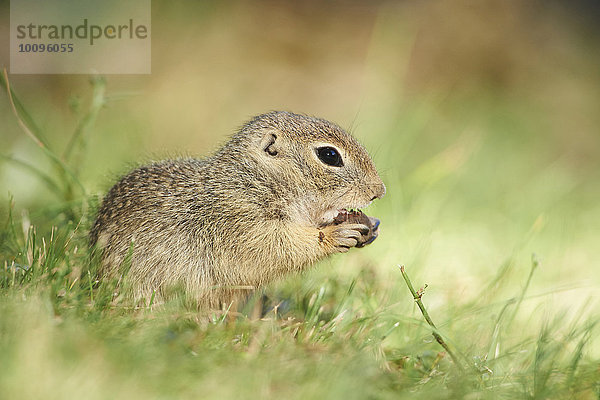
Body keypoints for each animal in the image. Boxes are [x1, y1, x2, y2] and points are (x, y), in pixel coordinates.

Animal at [91, 111, 386, 310]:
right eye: (329, 155)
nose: (379, 191)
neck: (252, 181)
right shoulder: (239, 222)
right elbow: (277, 248)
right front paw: (335, 235)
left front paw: (369, 226)